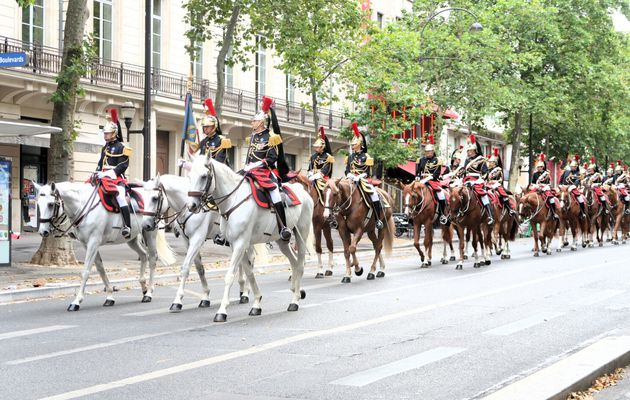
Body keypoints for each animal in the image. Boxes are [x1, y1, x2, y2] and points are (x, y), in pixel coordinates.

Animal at [35, 180, 177, 310]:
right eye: (38, 204)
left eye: (50, 204)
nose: (43, 231)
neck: (83, 205)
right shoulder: (87, 244)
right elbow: (100, 269)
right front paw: (109, 296)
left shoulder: (93, 242)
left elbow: (86, 271)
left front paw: (76, 301)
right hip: (132, 239)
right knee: (143, 255)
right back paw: (143, 287)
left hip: (150, 232)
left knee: (152, 258)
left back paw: (149, 293)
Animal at [143, 175, 262, 312]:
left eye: (155, 198)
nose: (146, 225)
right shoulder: (188, 241)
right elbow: (199, 268)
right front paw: (205, 297)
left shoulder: (197, 239)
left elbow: (186, 267)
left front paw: (177, 300)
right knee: (243, 263)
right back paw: (242, 291)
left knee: (250, 259)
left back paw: (246, 292)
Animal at [188, 155, 316, 322]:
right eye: (189, 175)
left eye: (204, 176)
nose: (191, 206)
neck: (234, 199)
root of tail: (303, 192)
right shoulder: (235, 244)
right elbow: (249, 273)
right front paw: (256, 304)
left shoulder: (241, 243)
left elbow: (230, 276)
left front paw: (222, 311)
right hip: (282, 240)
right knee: (293, 261)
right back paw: (297, 291)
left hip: (302, 232)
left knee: (300, 264)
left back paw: (294, 301)